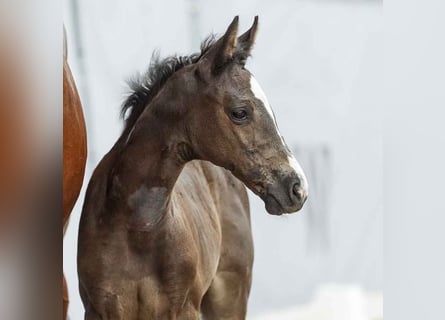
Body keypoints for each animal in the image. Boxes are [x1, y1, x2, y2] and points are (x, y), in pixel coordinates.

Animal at [77, 17, 306, 320]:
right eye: (240, 112)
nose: (297, 187)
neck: (137, 227)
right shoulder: (99, 309)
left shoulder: (184, 308)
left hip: (230, 294)